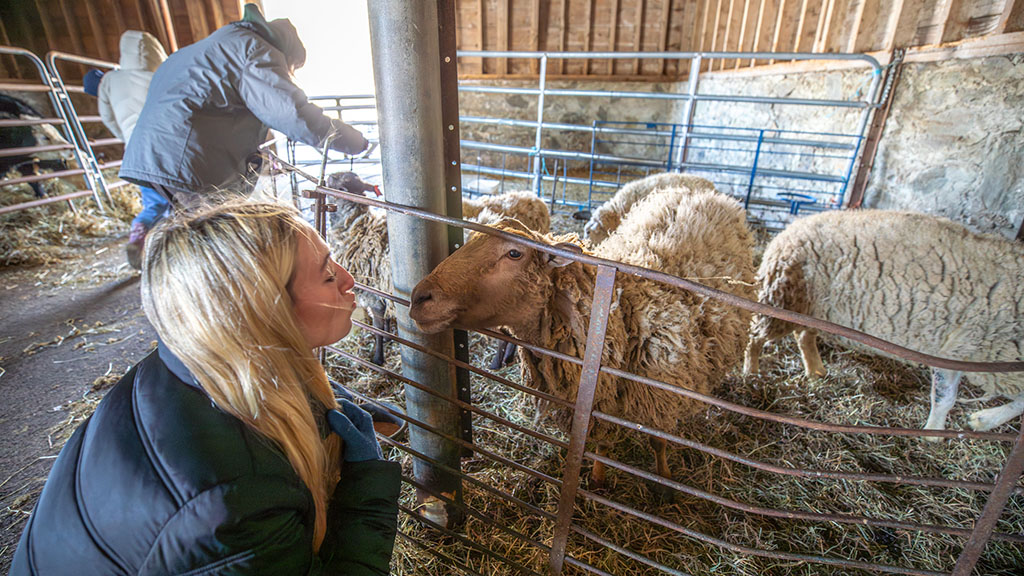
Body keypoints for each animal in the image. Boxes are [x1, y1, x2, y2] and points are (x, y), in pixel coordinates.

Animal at [326, 172, 551, 366]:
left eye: (338, 185)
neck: (357, 228)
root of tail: (535, 200)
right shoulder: (382, 291)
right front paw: (389, 339)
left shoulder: (373, 294)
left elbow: (378, 328)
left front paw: (378, 358)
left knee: (505, 334)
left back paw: (496, 363)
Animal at [409, 186, 756, 486]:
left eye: (514, 253)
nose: (418, 298)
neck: (618, 314)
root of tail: (707, 193)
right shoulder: (599, 399)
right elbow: (601, 443)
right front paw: (599, 479)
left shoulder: (661, 393)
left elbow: (658, 441)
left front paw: (664, 481)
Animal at [743, 209, 1024, 434]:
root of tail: (791, 228)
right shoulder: (956, 350)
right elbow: (944, 398)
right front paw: (933, 434)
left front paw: (982, 420)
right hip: (783, 298)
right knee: (754, 337)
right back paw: (752, 373)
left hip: (815, 307)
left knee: (803, 336)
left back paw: (815, 371)